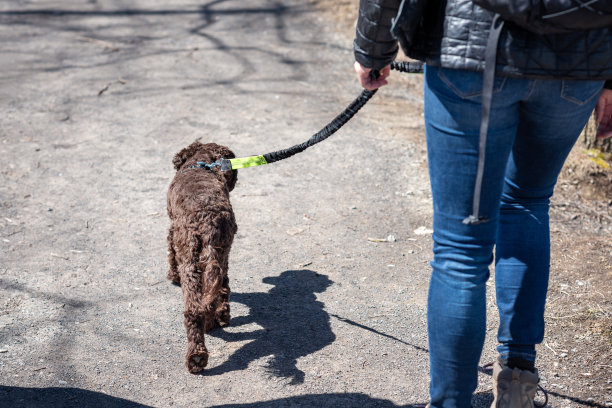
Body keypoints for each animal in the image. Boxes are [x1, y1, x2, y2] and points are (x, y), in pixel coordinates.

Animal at [166, 141, 238, 372]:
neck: (202, 163)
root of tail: (208, 222)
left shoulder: (172, 231)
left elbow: (170, 254)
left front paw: (172, 276)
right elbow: (223, 287)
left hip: (190, 259)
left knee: (193, 309)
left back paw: (196, 356)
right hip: (218, 253)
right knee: (218, 290)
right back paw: (217, 319)